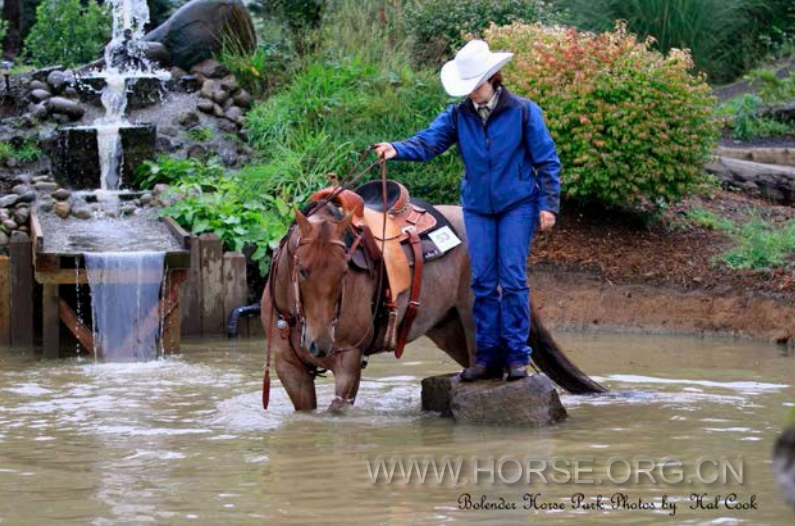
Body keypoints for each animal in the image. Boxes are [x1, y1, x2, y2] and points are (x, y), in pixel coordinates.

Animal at [262, 200, 604, 414]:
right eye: (302, 269)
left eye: (346, 270)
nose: (319, 345)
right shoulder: (289, 368)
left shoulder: (348, 361)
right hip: (448, 329)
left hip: (475, 320)